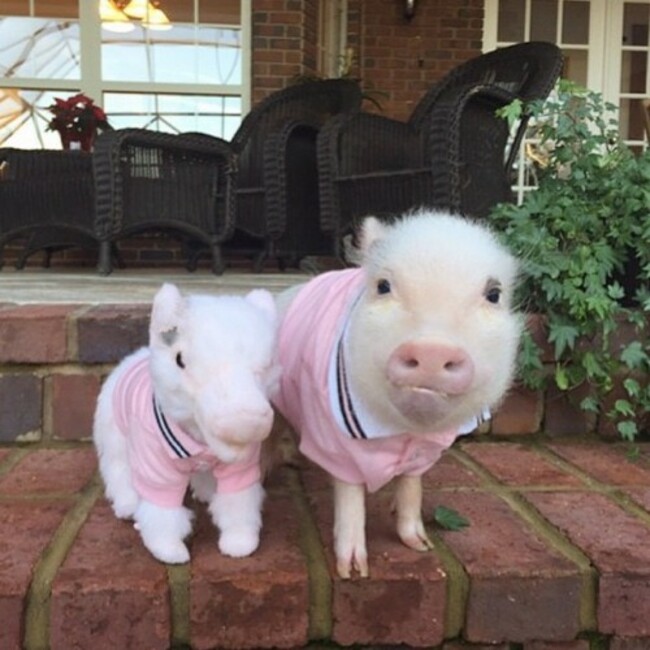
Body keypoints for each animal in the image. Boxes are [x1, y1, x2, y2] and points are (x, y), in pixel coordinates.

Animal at [93, 284, 278, 560]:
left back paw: (205, 493)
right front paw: (169, 550)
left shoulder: (240, 472)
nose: (245, 422)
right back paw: (127, 506)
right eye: (180, 360)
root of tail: (134, 357)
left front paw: (239, 544)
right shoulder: (157, 471)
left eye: (267, 366)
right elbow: (162, 514)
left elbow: (238, 504)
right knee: (118, 471)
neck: (198, 439)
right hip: (115, 438)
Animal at [274, 209, 520, 576]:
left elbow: (411, 488)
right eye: (383, 286)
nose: (432, 350)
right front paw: (353, 572)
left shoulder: (426, 450)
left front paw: (420, 545)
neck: (405, 430)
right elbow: (350, 496)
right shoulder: (335, 440)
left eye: (493, 294)